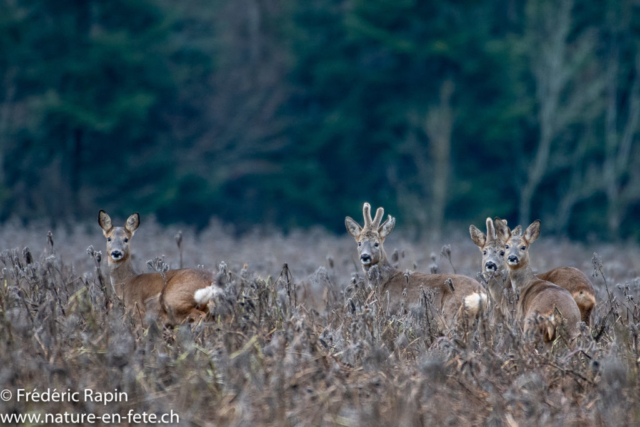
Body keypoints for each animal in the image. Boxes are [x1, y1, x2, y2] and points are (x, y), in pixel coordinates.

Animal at [348, 202, 488, 326]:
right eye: (359, 243)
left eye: (376, 243)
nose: (365, 256)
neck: (383, 283)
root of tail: (481, 293)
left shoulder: (392, 310)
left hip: (451, 313)